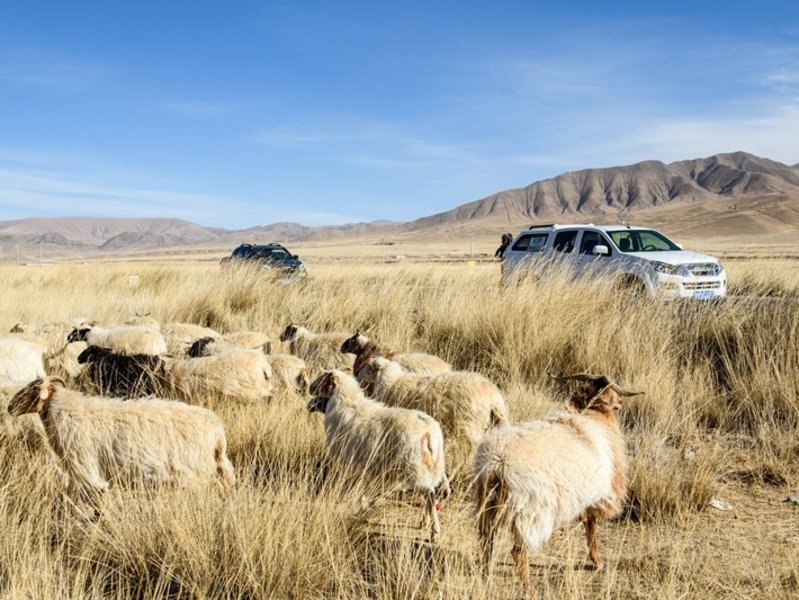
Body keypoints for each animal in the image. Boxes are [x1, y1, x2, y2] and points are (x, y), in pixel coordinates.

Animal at [7, 376, 238, 506]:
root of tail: (218, 432)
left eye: (32, 391)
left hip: (195, 475)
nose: (9, 407)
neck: (65, 409)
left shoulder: (84, 467)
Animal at [310, 370, 454, 544]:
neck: (345, 403)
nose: (309, 390)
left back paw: (434, 531)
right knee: (431, 492)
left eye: (322, 382)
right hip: (433, 465)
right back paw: (423, 522)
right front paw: (363, 504)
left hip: (415, 466)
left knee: (430, 494)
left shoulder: (345, 461)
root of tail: (430, 433)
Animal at [476, 372, 644, 592]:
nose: (621, 403)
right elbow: (591, 528)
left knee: (487, 541)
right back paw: (530, 588)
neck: (592, 417)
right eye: (611, 393)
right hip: (529, 511)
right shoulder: (593, 496)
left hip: (487, 503)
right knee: (517, 551)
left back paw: (485, 575)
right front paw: (597, 562)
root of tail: (498, 463)